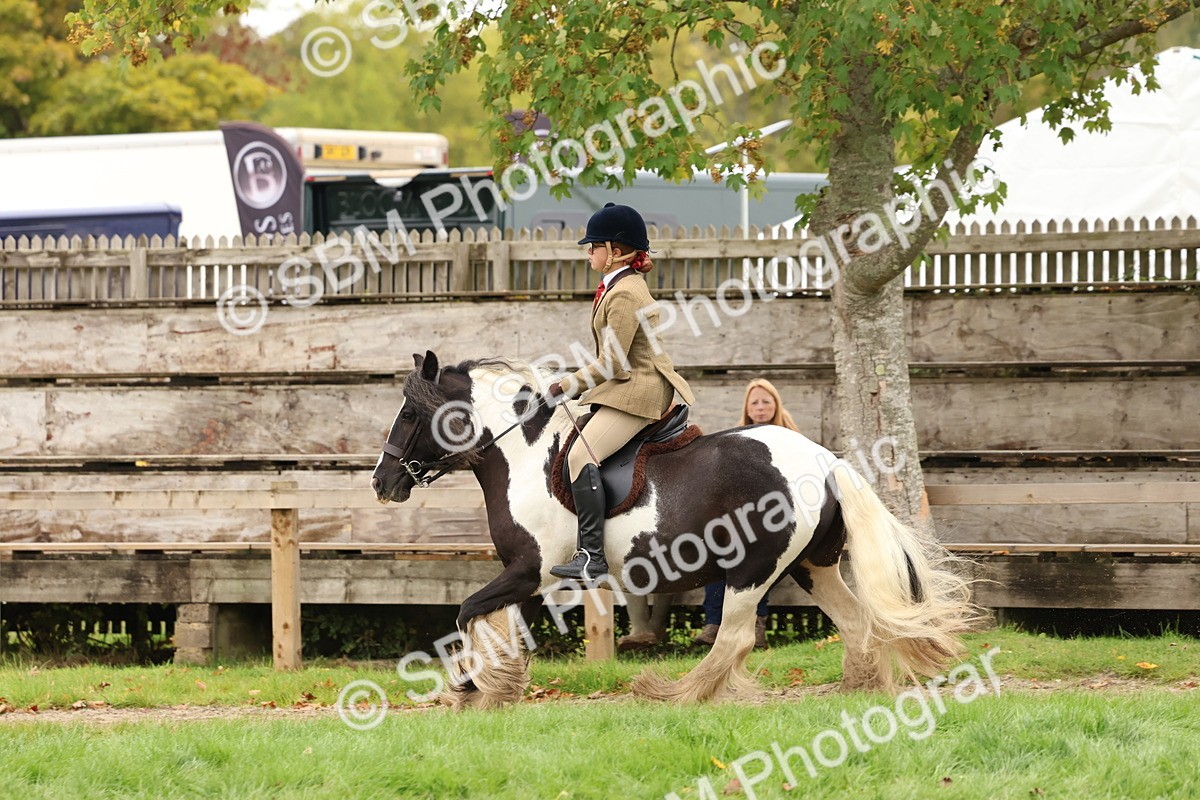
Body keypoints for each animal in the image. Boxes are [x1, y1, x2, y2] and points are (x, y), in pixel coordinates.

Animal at [371, 352, 981, 708]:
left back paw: (674, 692)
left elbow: (467, 611)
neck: (521, 453)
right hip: (811, 567)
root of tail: (827, 461)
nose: (382, 482)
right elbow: (490, 621)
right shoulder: (523, 578)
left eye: (409, 413)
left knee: (735, 637)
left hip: (752, 570)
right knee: (855, 621)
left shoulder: (528, 571)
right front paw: (490, 685)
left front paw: (472, 685)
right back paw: (859, 688)